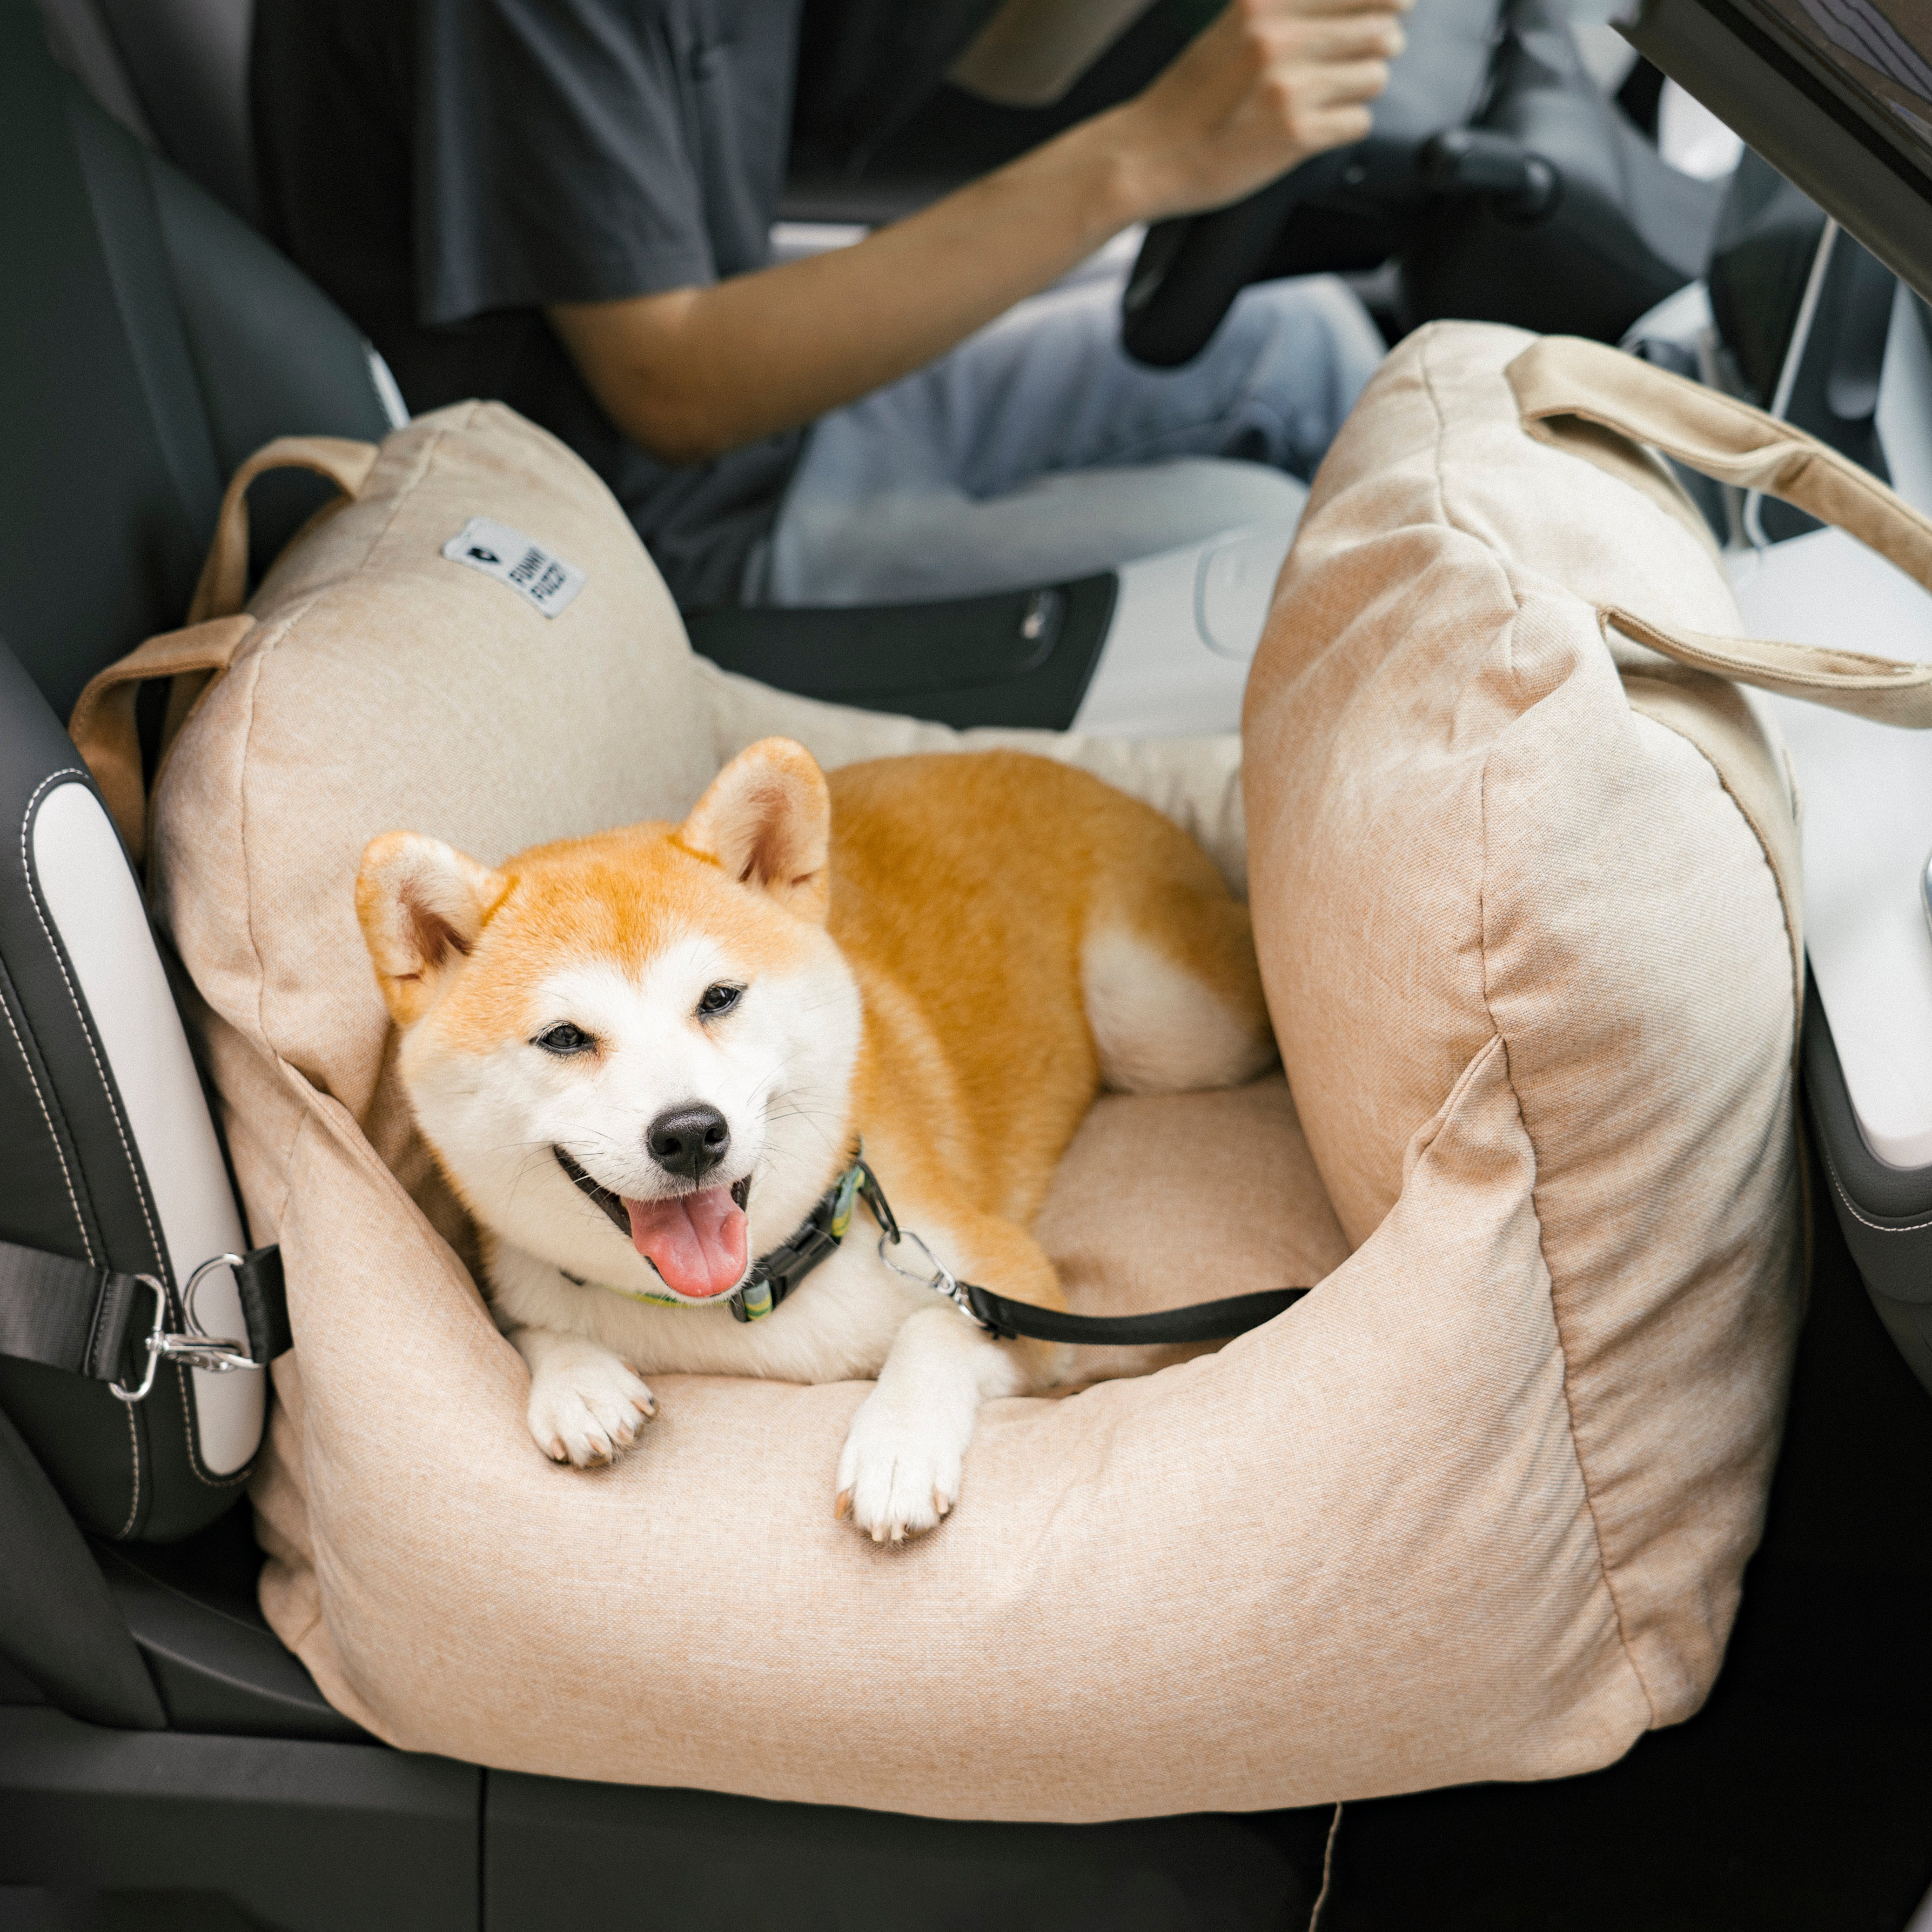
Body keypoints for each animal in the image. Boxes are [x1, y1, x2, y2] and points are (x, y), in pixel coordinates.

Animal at [355, 738, 1275, 1538]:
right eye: (564, 1038)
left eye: (719, 997)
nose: (690, 1133)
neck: (743, 1301)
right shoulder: (517, 1276)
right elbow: (524, 1323)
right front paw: (576, 1380)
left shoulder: (1014, 1288)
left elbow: (936, 1329)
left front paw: (898, 1444)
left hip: (1165, 1026)